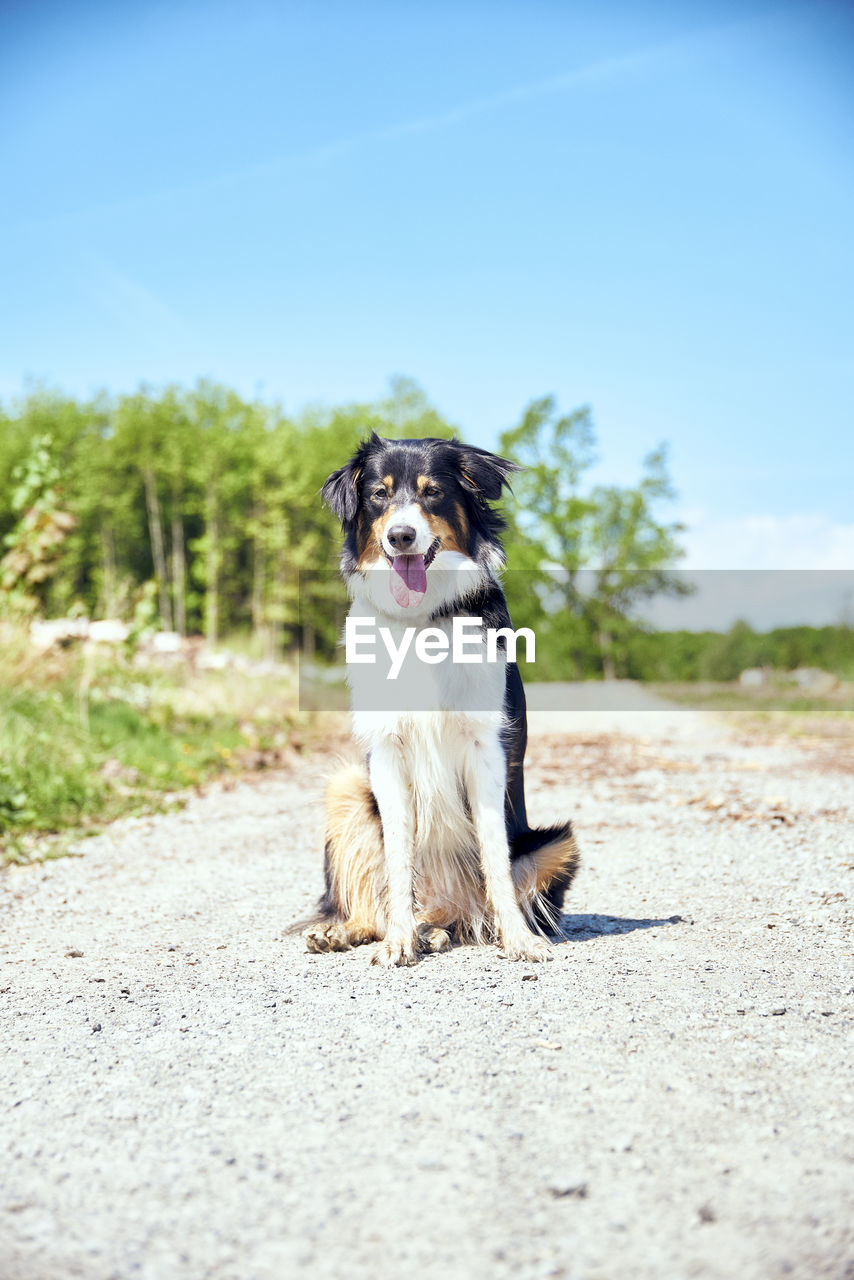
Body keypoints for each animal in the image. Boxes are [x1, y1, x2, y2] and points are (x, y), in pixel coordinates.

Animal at [303, 435, 578, 962]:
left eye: (432, 493)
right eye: (379, 495)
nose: (401, 537)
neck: (421, 620)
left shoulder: (486, 747)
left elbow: (495, 855)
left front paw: (519, 938)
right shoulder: (387, 750)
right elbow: (397, 859)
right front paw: (397, 941)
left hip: (558, 842)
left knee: (477, 904)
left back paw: (441, 929)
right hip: (347, 789)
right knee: (380, 902)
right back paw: (355, 931)